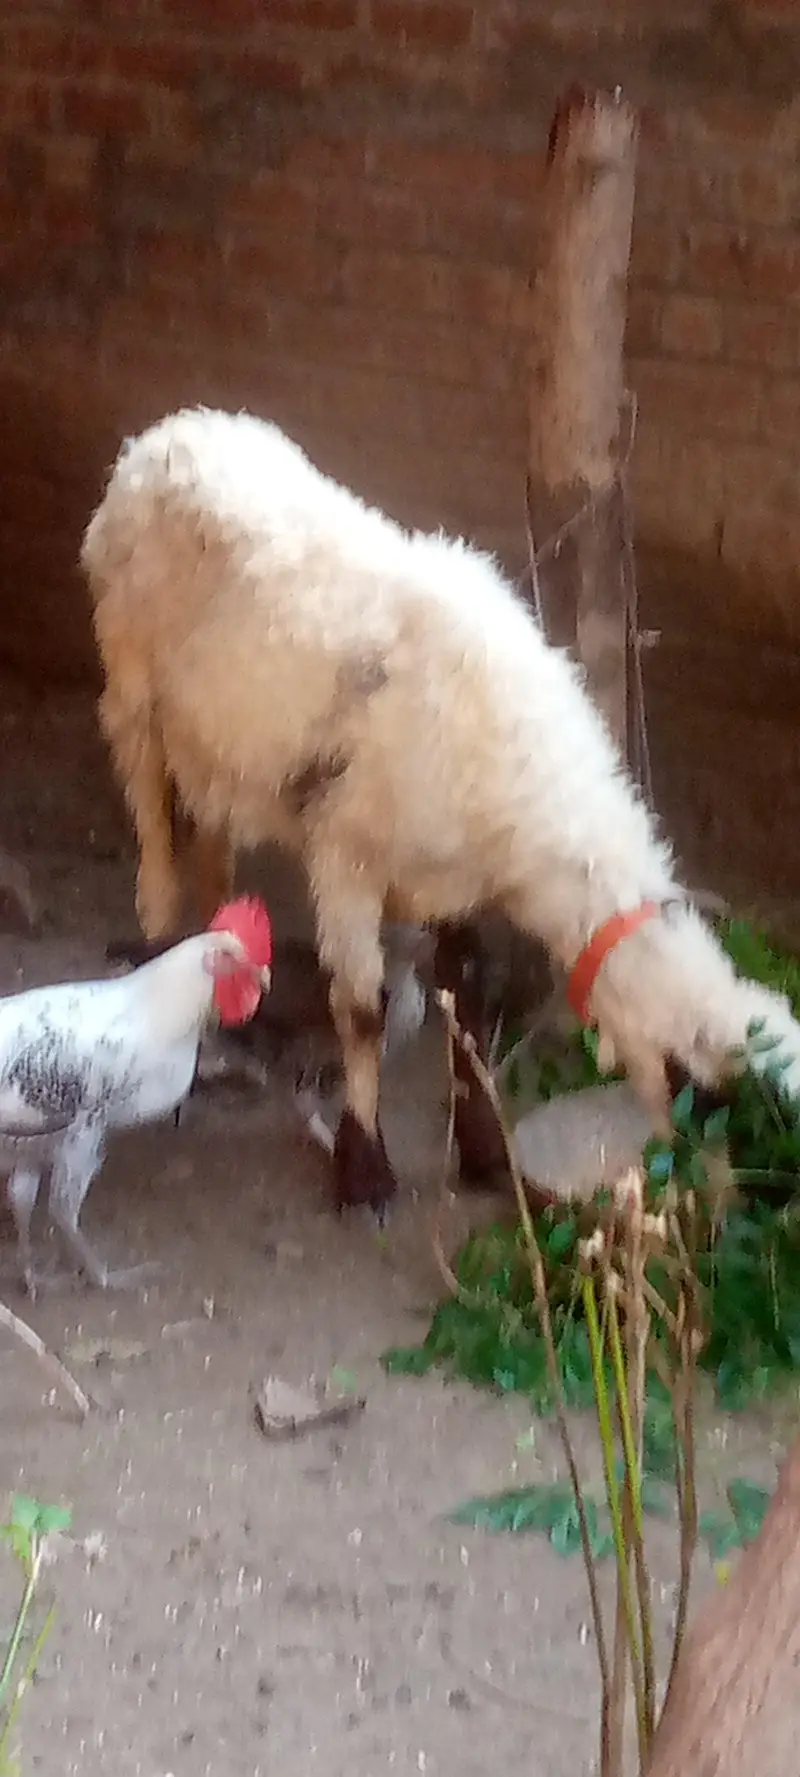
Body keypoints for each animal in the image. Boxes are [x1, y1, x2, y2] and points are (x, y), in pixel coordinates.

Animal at [81, 405, 800, 1216]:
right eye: (713, 1100)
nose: (727, 1210)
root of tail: (167, 435)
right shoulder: (346, 854)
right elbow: (363, 1009)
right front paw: (364, 1169)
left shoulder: (458, 882)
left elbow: (472, 1006)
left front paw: (485, 1151)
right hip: (132, 683)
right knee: (152, 826)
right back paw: (160, 945)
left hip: (219, 740)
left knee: (213, 839)